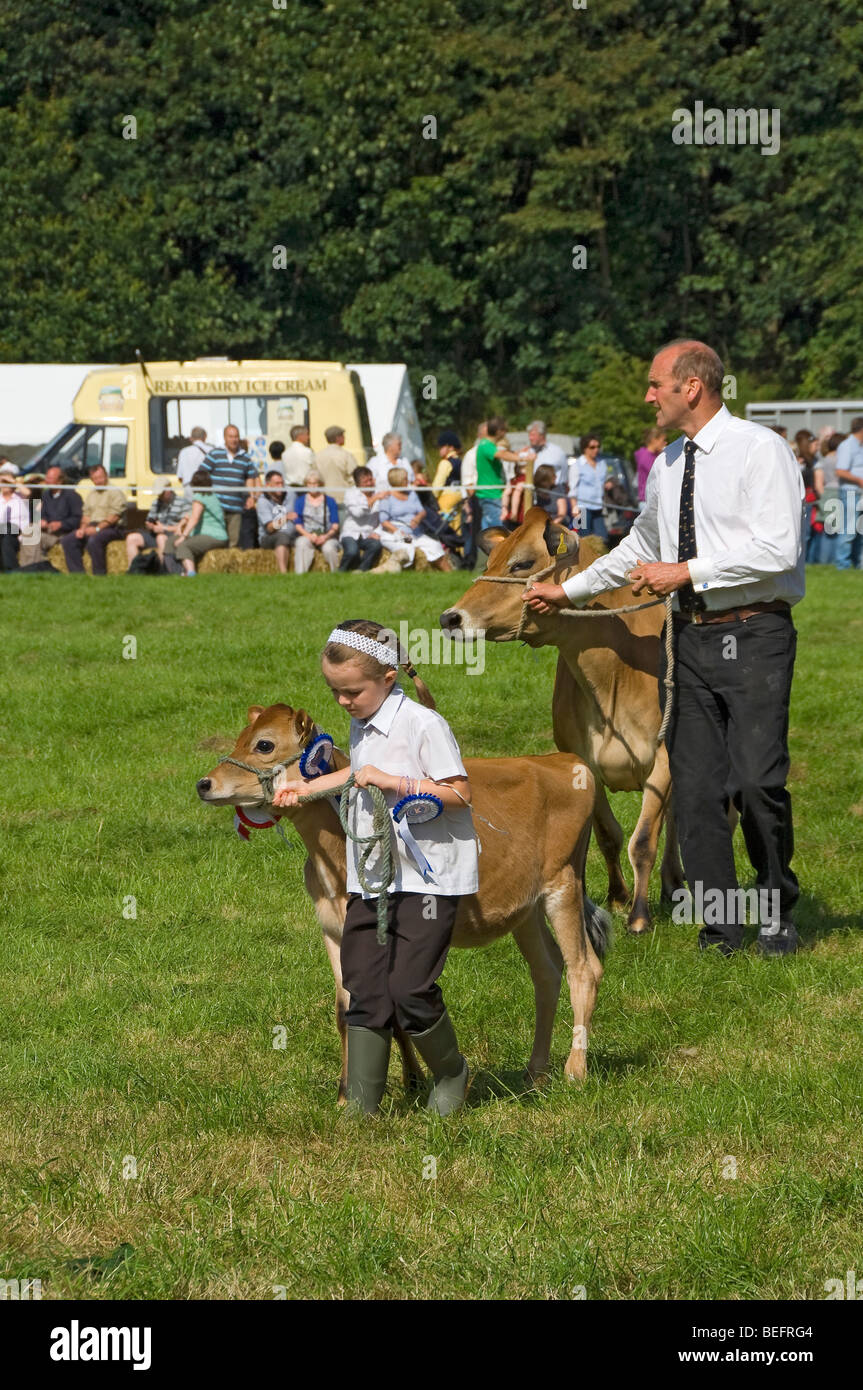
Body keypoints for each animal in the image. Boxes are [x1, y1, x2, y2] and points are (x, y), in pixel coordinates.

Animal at [197, 700, 608, 1100]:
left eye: (264, 744)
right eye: (240, 736)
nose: (204, 783)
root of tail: (564, 761)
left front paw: (408, 1081)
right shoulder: (333, 930)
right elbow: (346, 1009)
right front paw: (355, 1090)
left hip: (563, 884)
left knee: (584, 968)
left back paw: (575, 1072)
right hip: (526, 909)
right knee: (547, 970)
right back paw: (535, 1073)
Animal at [441, 511, 683, 934]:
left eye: (521, 563)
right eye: (488, 563)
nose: (450, 618)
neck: (614, 674)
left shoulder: (664, 756)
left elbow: (642, 840)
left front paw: (639, 917)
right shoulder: (581, 759)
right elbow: (608, 835)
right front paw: (618, 898)